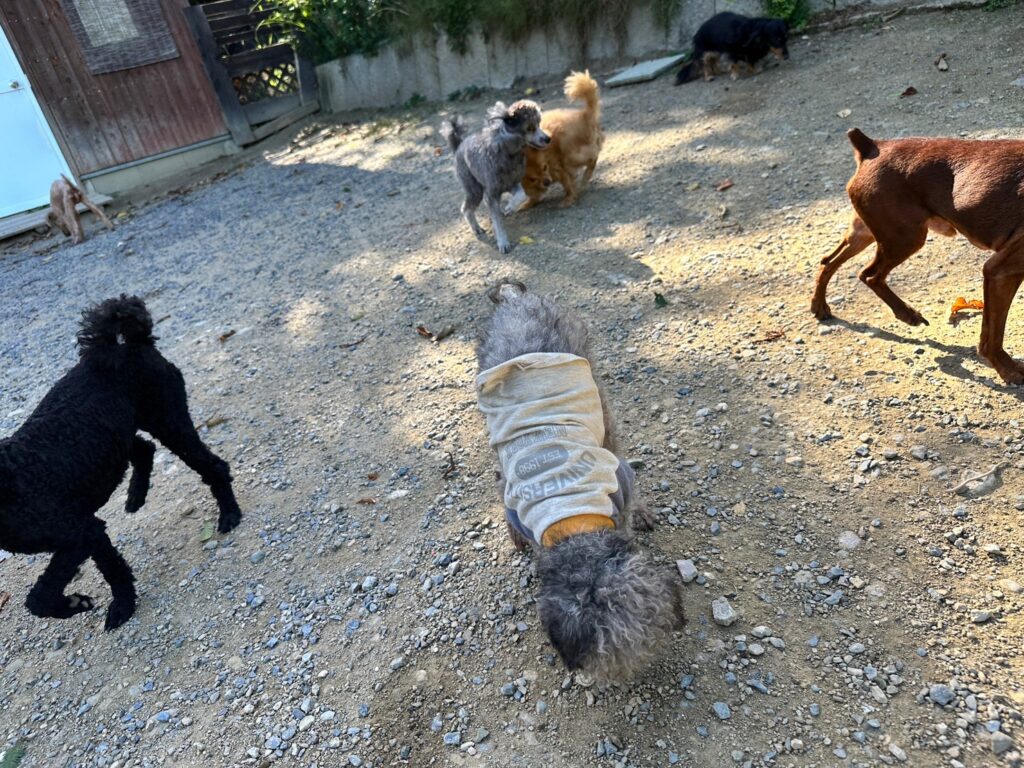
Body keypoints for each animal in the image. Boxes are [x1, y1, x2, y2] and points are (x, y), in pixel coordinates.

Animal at [0, 296, 242, 630]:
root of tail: (133, 344)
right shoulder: (89, 532)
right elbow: (111, 566)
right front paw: (111, 602)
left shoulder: (81, 533)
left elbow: (42, 597)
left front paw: (93, 604)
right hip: (124, 433)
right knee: (144, 449)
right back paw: (136, 496)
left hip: (169, 421)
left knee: (212, 466)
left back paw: (229, 513)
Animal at [441, 101, 550, 254]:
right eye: (529, 128)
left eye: (539, 123)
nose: (548, 139)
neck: (508, 152)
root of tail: (459, 146)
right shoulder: (491, 195)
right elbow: (498, 223)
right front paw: (503, 242)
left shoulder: (513, 184)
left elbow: (521, 195)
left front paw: (510, 207)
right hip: (474, 190)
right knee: (466, 209)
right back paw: (476, 228)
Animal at [476, 280, 682, 679]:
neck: (574, 523)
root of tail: (515, 300)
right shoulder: (513, 503)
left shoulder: (621, 479)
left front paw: (640, 514)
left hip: (593, 381)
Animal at [513, 72, 605, 211]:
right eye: (533, 178)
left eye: (544, 167)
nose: (547, 182)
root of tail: (584, 115)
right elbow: (533, 195)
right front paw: (528, 204)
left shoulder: (559, 169)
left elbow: (568, 185)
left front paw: (569, 199)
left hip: (571, 156)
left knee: (593, 157)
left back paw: (585, 178)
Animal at [812, 129, 1024, 385]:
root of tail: (872, 146)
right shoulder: (1000, 270)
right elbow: (992, 337)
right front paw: (1009, 370)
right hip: (904, 238)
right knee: (869, 275)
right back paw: (907, 314)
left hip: (866, 232)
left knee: (829, 261)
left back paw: (819, 307)